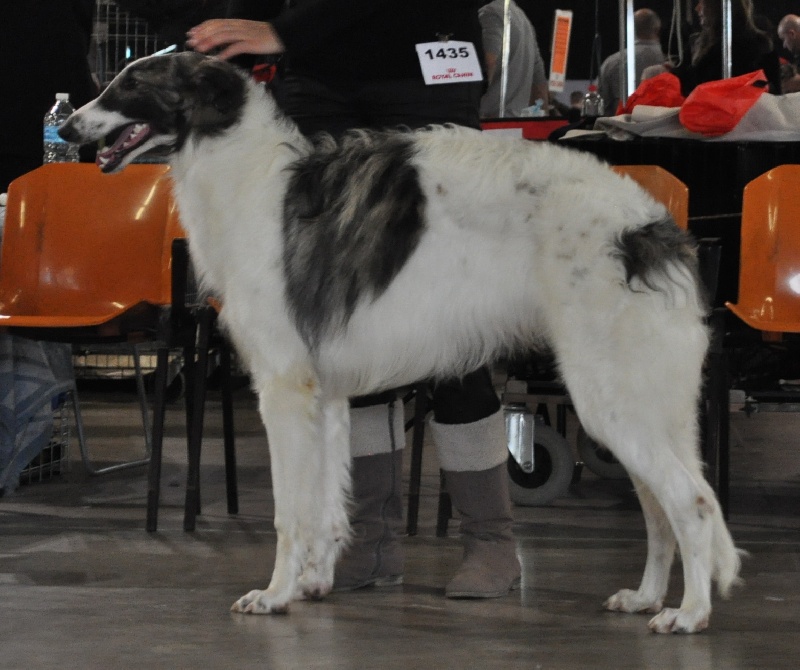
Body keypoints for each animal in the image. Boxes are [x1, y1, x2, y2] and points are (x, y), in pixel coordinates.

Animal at [60, 51, 741, 633]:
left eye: (131, 83)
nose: (67, 127)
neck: (249, 179)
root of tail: (649, 228)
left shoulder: (283, 388)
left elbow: (290, 512)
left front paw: (274, 594)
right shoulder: (327, 396)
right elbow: (327, 504)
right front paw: (313, 583)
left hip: (610, 399)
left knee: (693, 501)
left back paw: (688, 614)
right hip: (646, 405)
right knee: (661, 505)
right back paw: (647, 596)